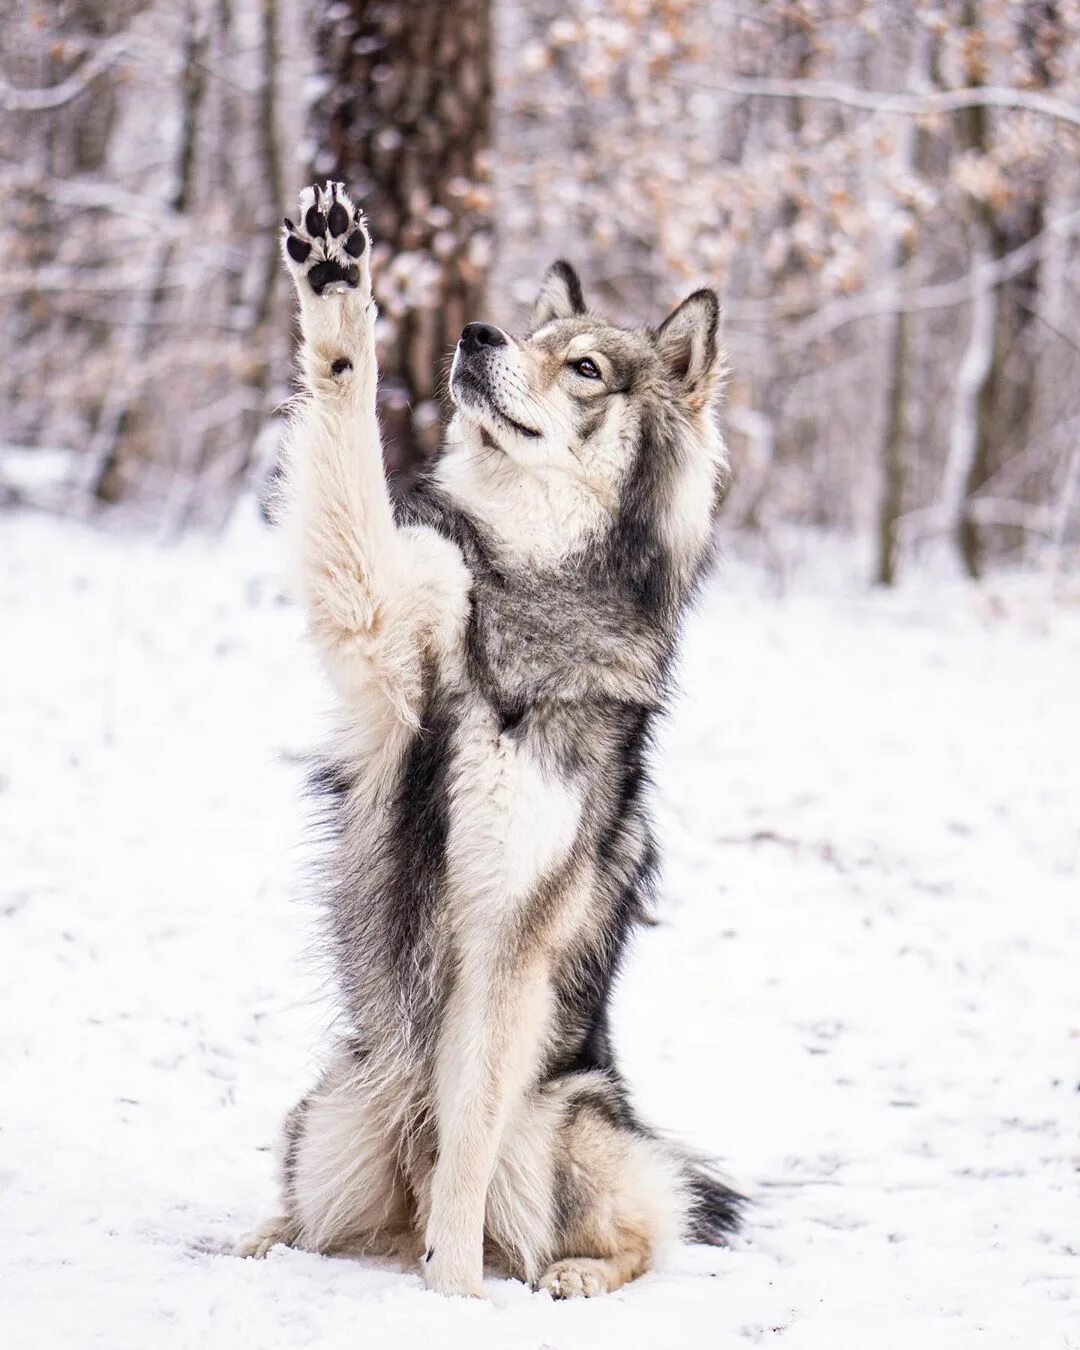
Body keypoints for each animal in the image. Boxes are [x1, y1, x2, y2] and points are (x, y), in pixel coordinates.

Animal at [238, 182, 745, 1296]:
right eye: (528, 334)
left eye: (585, 366)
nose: (475, 335)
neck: (521, 592)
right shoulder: (380, 619)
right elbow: (346, 427)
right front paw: (336, 283)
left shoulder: (510, 938)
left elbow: (467, 1141)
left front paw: (455, 1294)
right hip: (337, 1109)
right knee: (320, 1218)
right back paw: (262, 1241)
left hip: (566, 1125)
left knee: (646, 1228)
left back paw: (572, 1274)